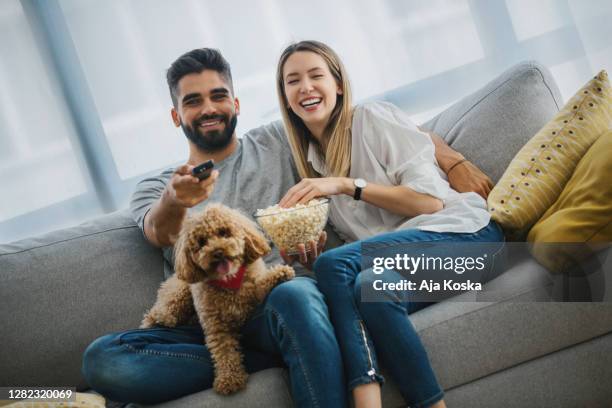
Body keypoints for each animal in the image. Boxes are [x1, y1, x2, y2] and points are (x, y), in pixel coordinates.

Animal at [141, 204, 294, 396]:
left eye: (224, 232)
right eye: (201, 242)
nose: (217, 252)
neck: (229, 281)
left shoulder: (254, 292)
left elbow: (260, 285)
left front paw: (280, 273)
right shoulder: (217, 327)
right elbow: (224, 353)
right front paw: (229, 379)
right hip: (181, 290)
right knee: (156, 312)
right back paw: (162, 319)